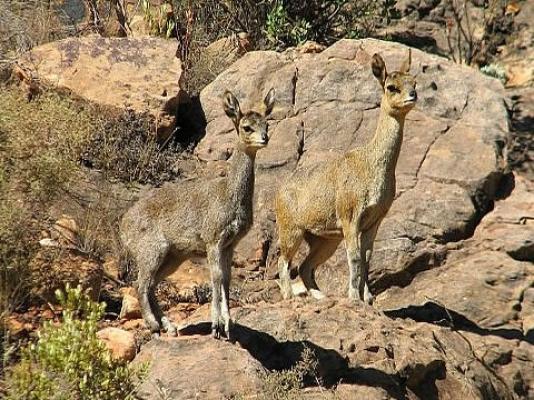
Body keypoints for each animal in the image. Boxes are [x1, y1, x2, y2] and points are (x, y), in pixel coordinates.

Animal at [121, 87, 276, 338]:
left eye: (266, 124)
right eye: (246, 127)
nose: (265, 138)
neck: (229, 194)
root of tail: (122, 226)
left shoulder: (230, 244)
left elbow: (227, 279)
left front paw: (228, 324)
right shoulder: (213, 240)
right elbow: (216, 277)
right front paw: (216, 324)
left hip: (173, 257)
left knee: (151, 284)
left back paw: (169, 326)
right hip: (151, 252)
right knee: (140, 283)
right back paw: (154, 325)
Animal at [276, 50, 418, 304]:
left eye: (414, 82)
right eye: (391, 87)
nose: (413, 96)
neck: (371, 165)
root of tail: (278, 194)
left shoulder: (375, 220)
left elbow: (367, 258)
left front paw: (368, 298)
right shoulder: (350, 217)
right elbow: (354, 258)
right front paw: (354, 296)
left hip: (325, 239)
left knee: (304, 266)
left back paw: (321, 296)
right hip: (291, 231)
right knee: (283, 263)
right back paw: (290, 297)